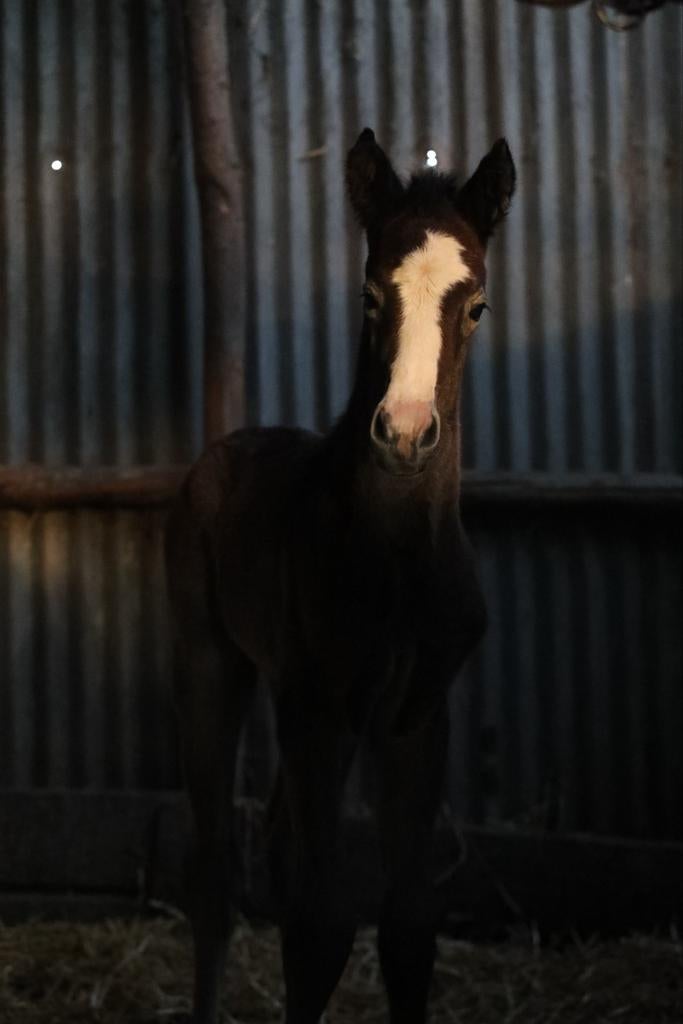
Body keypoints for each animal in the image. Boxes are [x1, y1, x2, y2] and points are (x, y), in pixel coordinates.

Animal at [165, 127, 515, 1024]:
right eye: (367, 297)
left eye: (475, 305)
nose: (404, 432)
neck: (395, 558)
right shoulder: (316, 710)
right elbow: (317, 933)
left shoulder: (415, 717)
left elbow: (408, 931)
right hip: (213, 665)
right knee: (214, 878)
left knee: (274, 841)